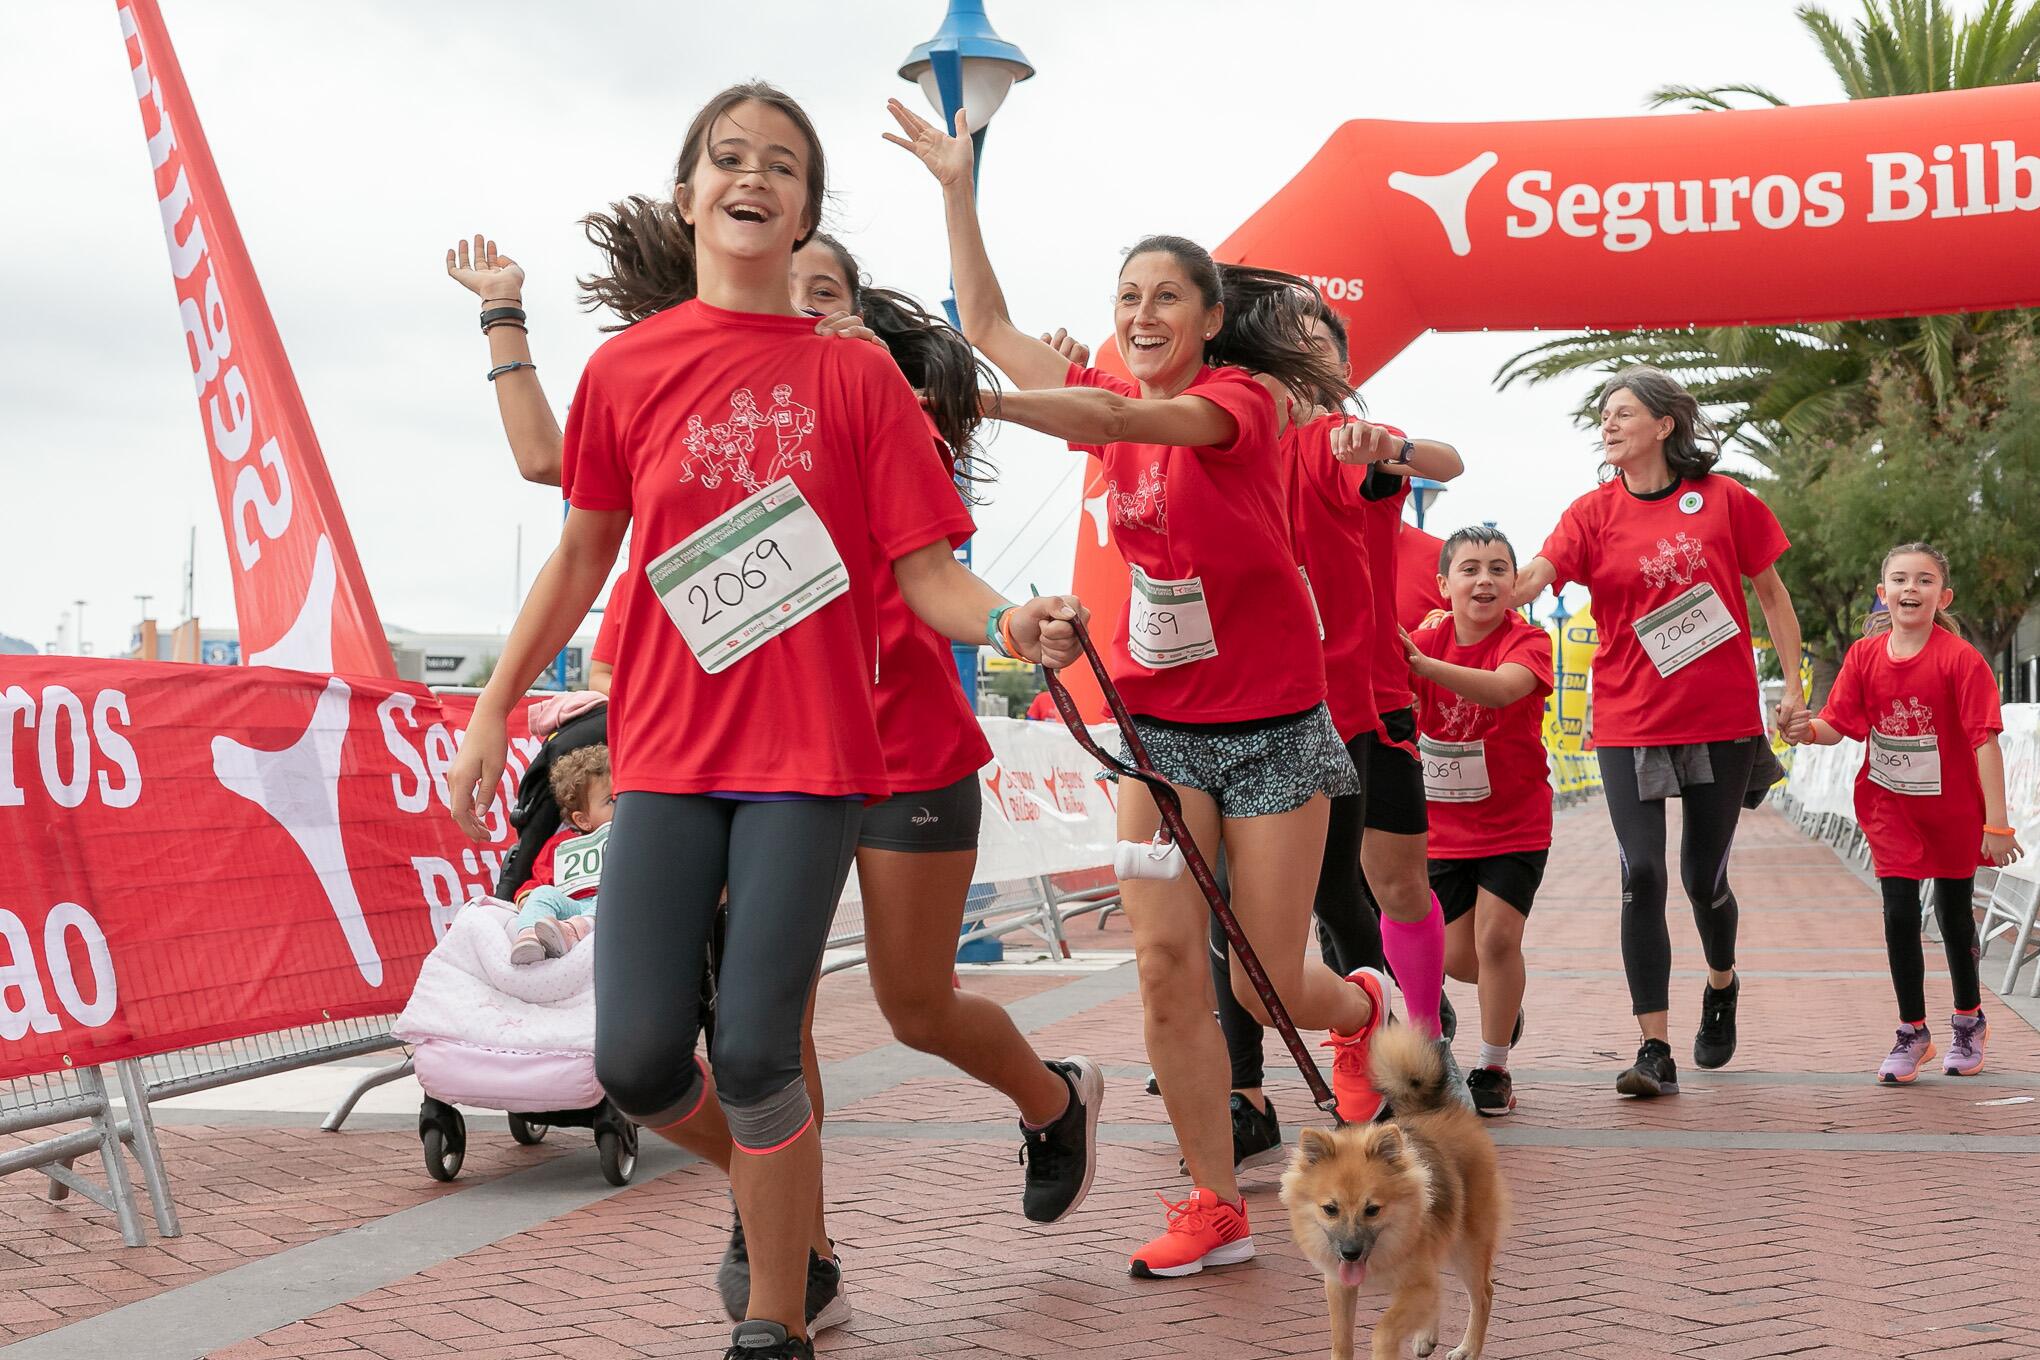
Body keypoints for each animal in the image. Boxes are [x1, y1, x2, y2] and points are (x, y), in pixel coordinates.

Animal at [1281, 1027, 1509, 1353]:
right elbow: (1341, 1339)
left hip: (1468, 1245)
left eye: (1372, 1210)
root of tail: (1433, 1108)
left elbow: (1383, 1330)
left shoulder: (1416, 1287)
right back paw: (1427, 1337)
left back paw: (1468, 1349)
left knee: (1484, 1294)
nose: (1350, 1253)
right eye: (1330, 1209)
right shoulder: (1339, 1285)